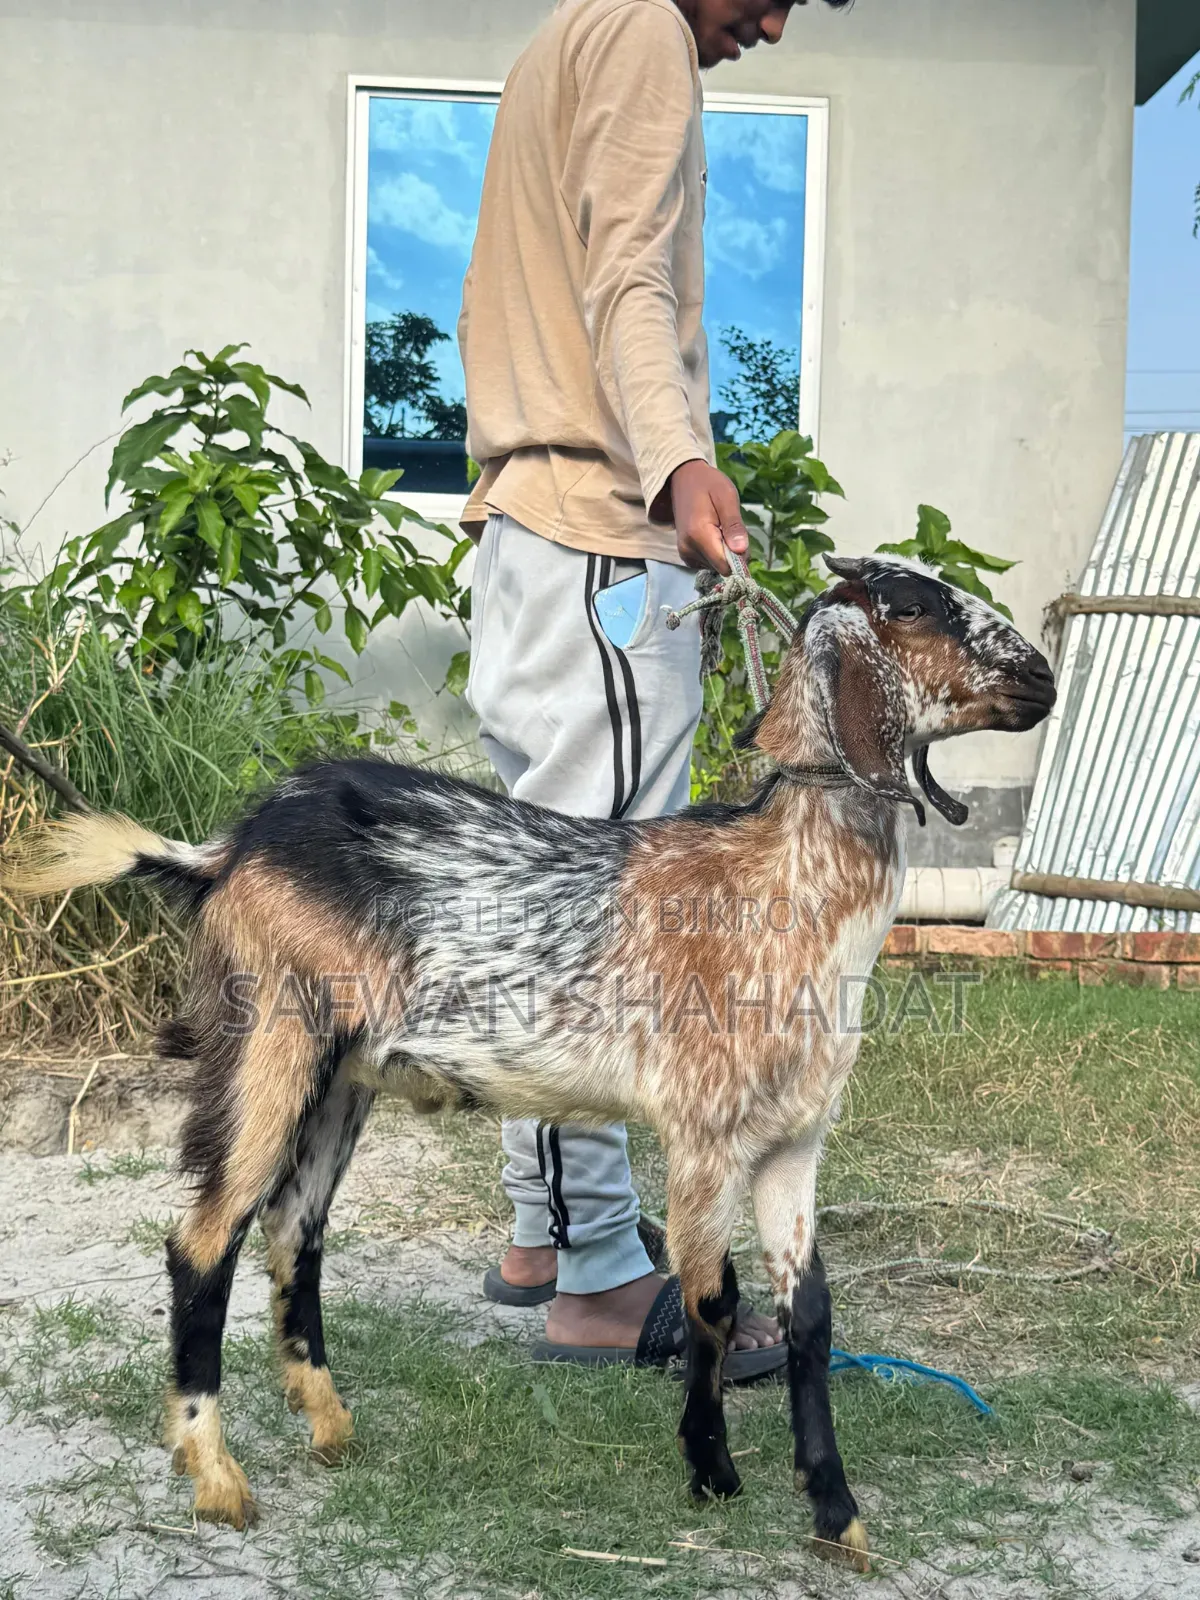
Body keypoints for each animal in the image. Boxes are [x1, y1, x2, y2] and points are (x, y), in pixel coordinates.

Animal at [3, 554, 1054, 1567]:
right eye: (912, 605)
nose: (1041, 677)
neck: (779, 886)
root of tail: (227, 850)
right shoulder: (703, 1132)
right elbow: (713, 1302)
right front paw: (712, 1472)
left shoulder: (794, 1143)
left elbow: (811, 1317)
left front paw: (836, 1516)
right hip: (269, 1039)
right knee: (204, 1238)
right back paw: (218, 1477)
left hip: (342, 1076)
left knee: (293, 1227)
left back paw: (330, 1423)